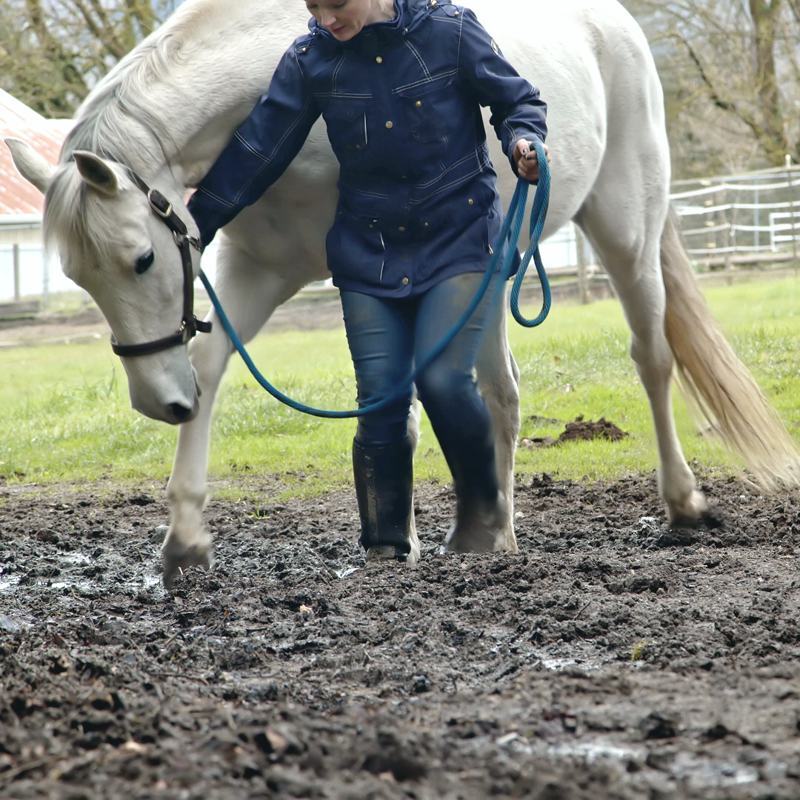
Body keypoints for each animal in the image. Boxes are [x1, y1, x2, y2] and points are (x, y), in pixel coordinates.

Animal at [7, 0, 800, 588]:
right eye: (77, 277)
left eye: (141, 259)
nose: (153, 403)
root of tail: (618, 27)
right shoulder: (257, 270)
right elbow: (214, 371)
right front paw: (185, 542)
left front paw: (402, 541)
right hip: (495, 274)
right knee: (501, 394)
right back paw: (498, 531)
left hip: (627, 228)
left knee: (652, 357)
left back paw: (681, 504)